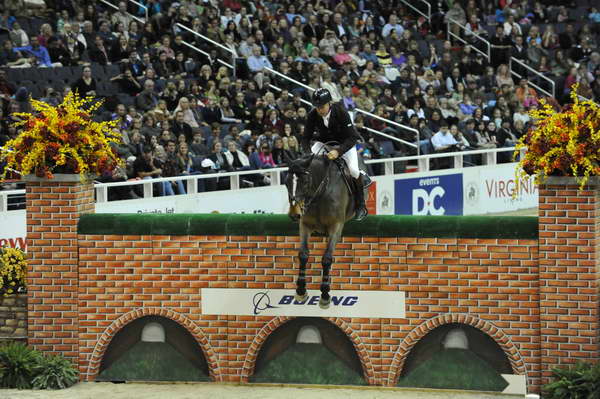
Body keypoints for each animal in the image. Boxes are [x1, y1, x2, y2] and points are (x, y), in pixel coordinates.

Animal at [286, 146, 360, 310]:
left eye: (304, 182)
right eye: (286, 182)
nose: (294, 214)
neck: (319, 193)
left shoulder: (336, 226)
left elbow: (326, 258)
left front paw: (325, 295)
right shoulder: (305, 225)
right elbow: (303, 255)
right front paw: (301, 290)